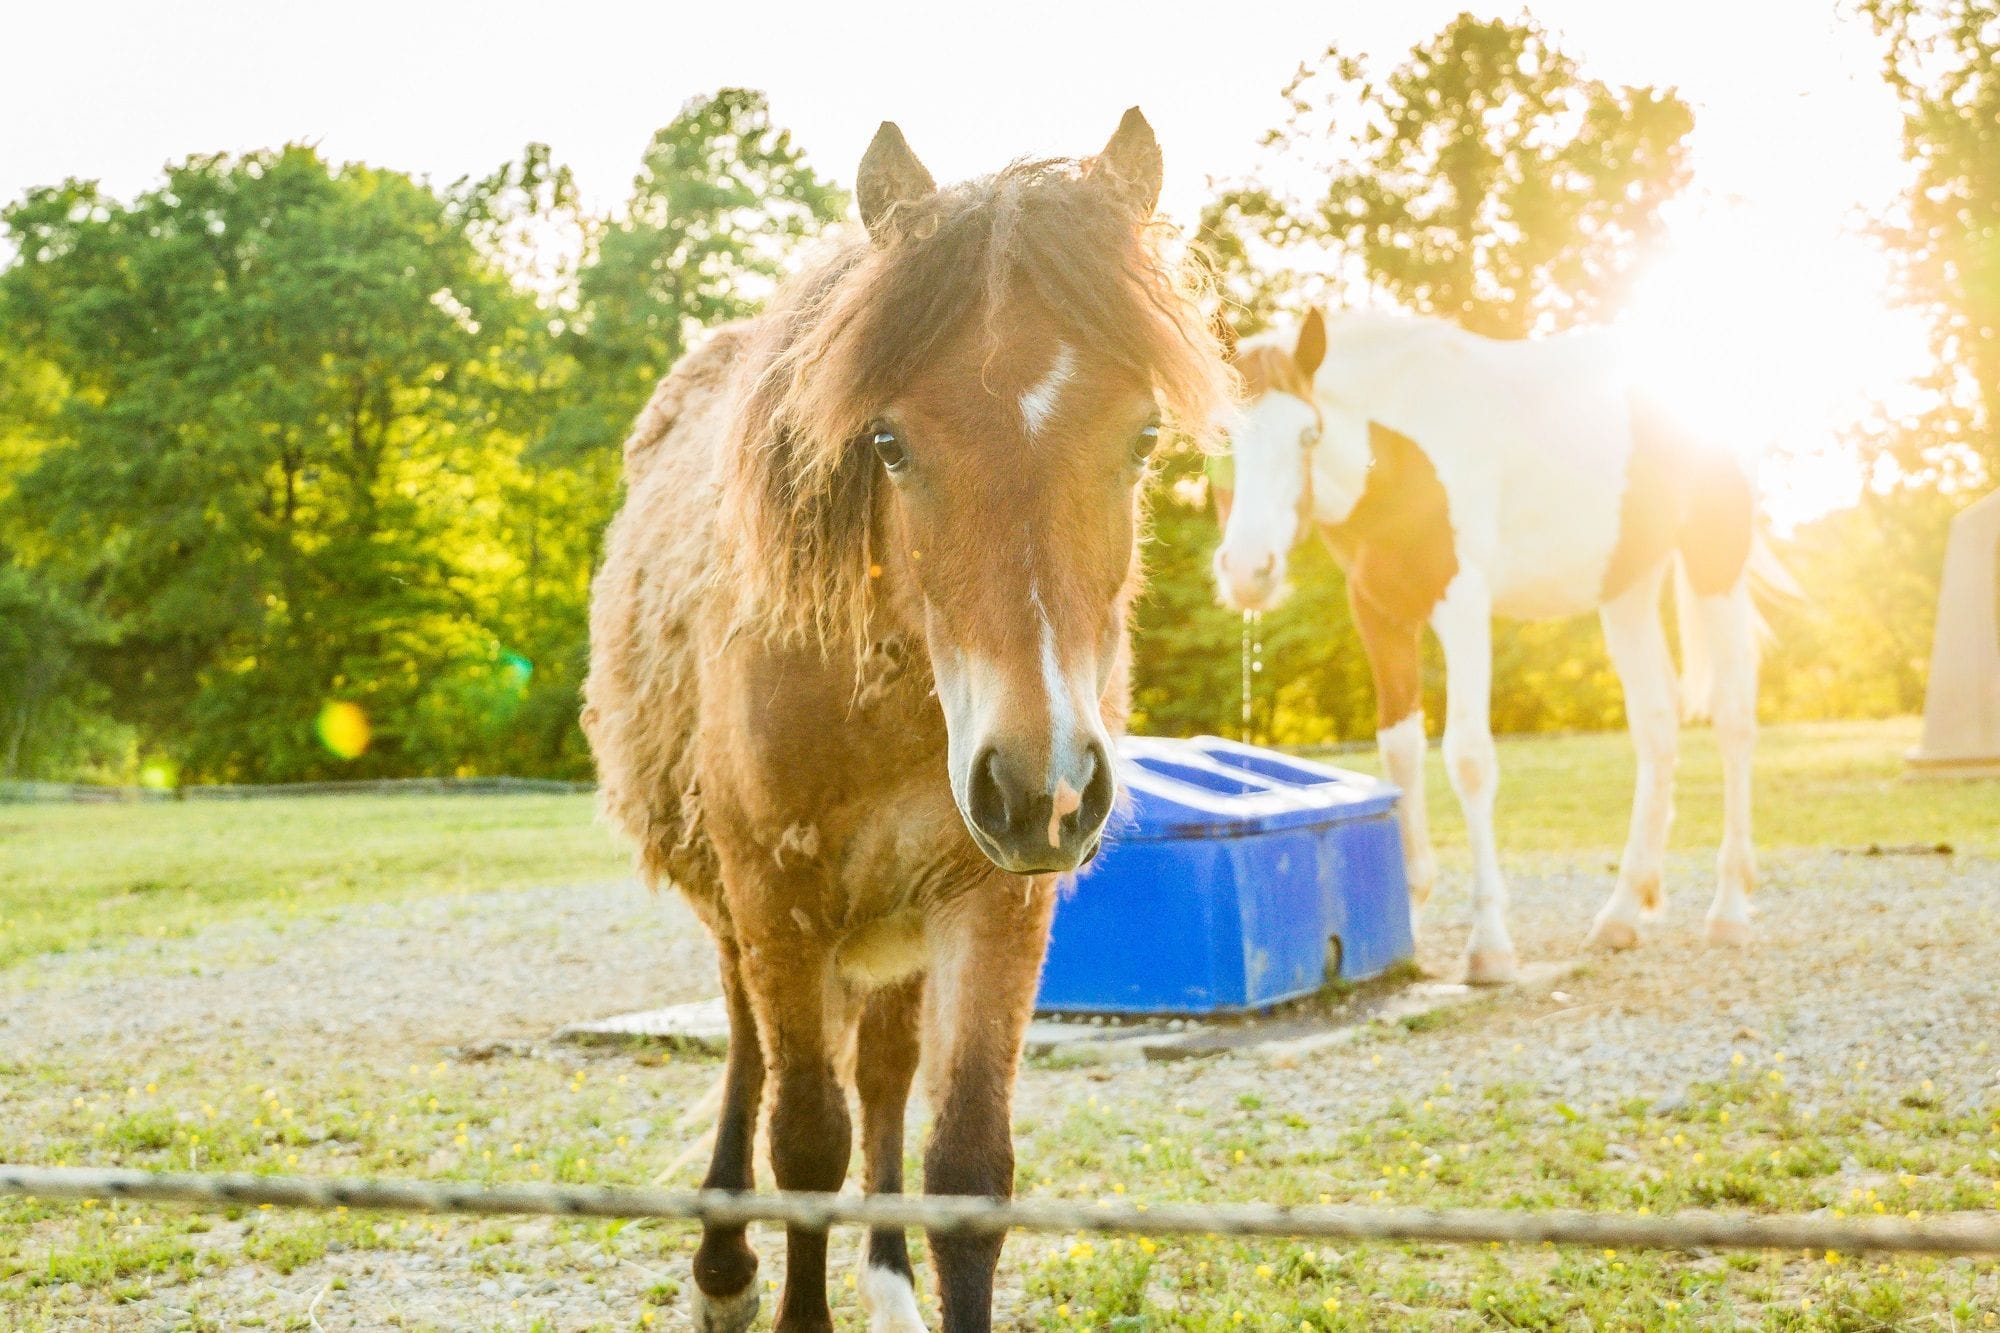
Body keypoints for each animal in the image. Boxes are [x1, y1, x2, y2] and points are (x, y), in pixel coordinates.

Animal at [582, 111, 1229, 1332]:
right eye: (887, 443)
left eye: (1141, 440)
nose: (1039, 783)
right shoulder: (778, 898)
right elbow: (804, 1140)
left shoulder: (994, 901)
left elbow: (966, 1167)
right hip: (744, 909)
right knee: (754, 1055)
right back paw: (724, 1265)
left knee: (881, 1077)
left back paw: (885, 1283)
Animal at [1211, 307, 1792, 985]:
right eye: (1219, 436)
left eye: (1307, 435)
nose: (1248, 569)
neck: (1400, 446)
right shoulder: (1379, 615)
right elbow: (1399, 750)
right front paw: (1408, 911)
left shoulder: (1463, 605)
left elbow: (1467, 757)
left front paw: (1488, 945)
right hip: (1627, 586)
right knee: (1656, 724)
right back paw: (1621, 913)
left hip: (1713, 565)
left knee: (1733, 717)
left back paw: (1729, 909)